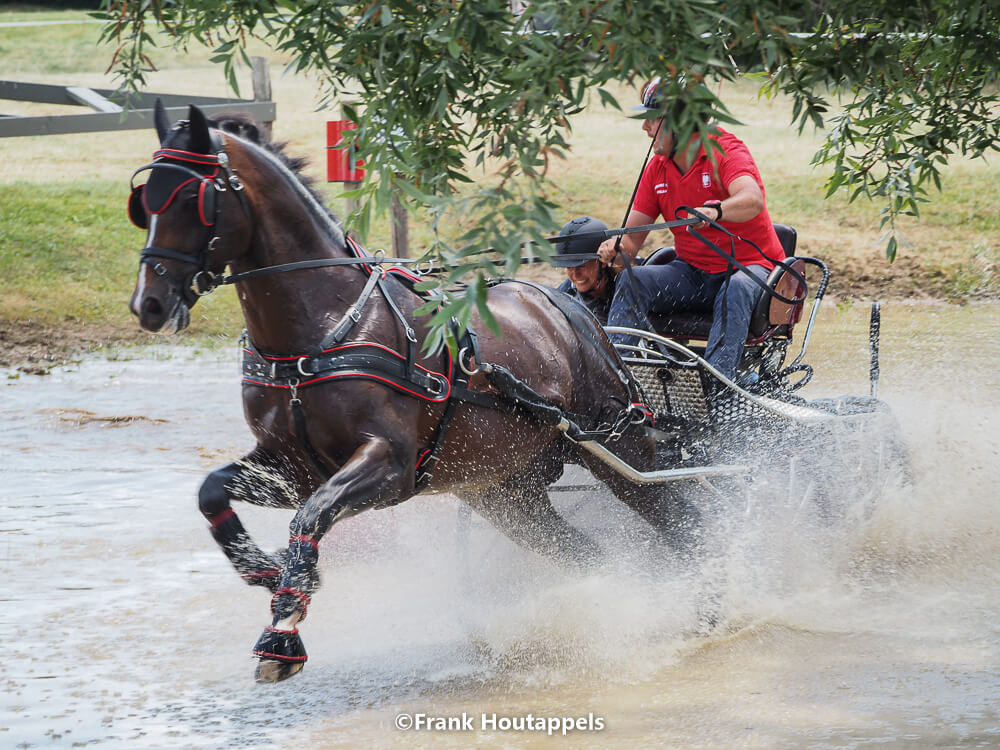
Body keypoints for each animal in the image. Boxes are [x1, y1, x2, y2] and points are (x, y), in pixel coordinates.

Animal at [128, 102, 698, 683]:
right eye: (143, 201)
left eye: (192, 199)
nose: (148, 303)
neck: (323, 326)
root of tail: (577, 314)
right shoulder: (289, 465)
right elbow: (212, 492)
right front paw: (267, 571)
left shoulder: (390, 465)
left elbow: (311, 514)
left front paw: (283, 628)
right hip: (506, 490)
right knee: (584, 552)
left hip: (619, 449)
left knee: (680, 519)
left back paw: (706, 599)